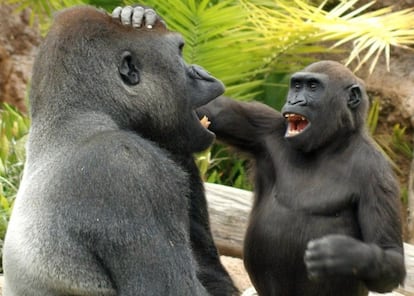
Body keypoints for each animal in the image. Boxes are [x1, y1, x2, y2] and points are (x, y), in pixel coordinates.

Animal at [196, 60, 404, 296]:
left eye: (313, 87)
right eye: (297, 86)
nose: (294, 100)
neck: (329, 145)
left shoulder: (378, 174)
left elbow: (390, 253)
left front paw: (343, 254)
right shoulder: (266, 127)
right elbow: (212, 110)